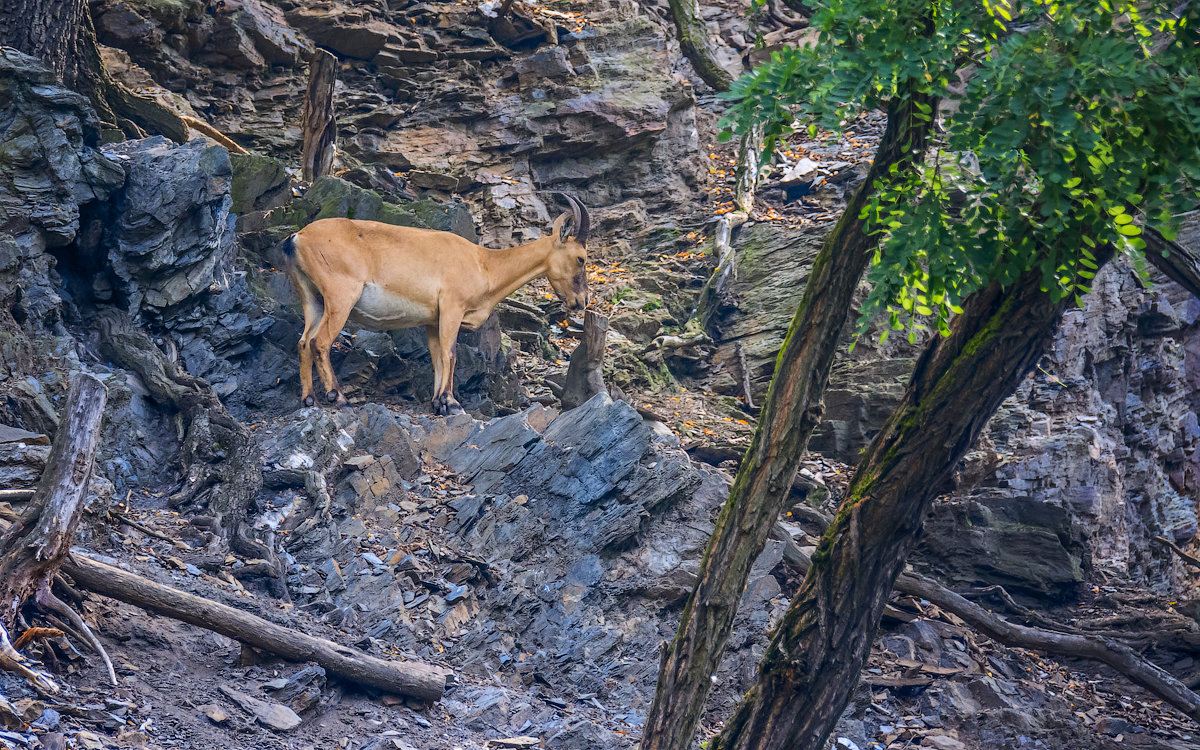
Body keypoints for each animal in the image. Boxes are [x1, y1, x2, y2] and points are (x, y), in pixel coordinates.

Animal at [282, 193, 590, 415]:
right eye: (581, 258)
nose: (581, 301)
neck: (484, 264)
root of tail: (298, 238)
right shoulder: (452, 306)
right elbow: (450, 353)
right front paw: (452, 403)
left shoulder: (433, 319)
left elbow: (437, 356)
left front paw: (437, 403)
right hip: (341, 294)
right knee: (320, 341)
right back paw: (339, 398)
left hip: (311, 295)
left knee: (303, 340)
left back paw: (309, 399)